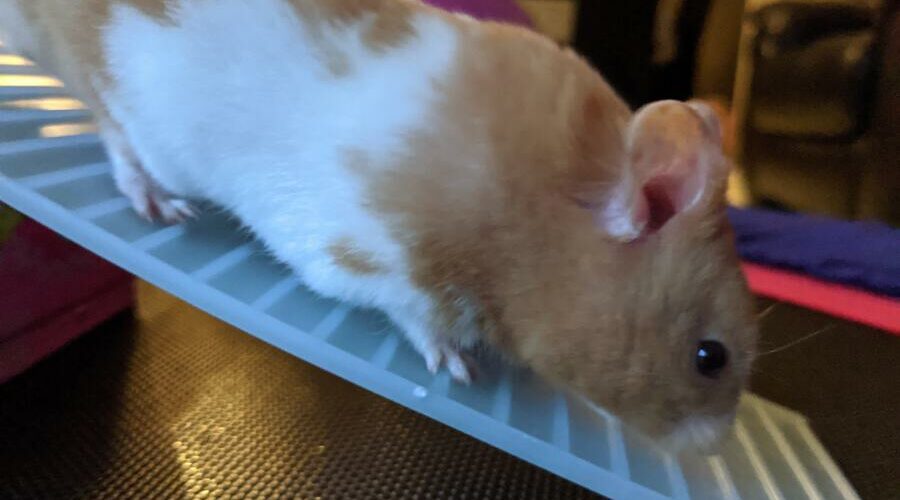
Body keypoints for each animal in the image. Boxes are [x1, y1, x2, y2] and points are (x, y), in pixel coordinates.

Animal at [0, 0, 757, 449]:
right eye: (709, 357)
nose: (718, 444)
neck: (541, 207)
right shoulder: (386, 262)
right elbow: (419, 321)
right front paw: (462, 371)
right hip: (136, 114)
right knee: (116, 139)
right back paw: (159, 205)